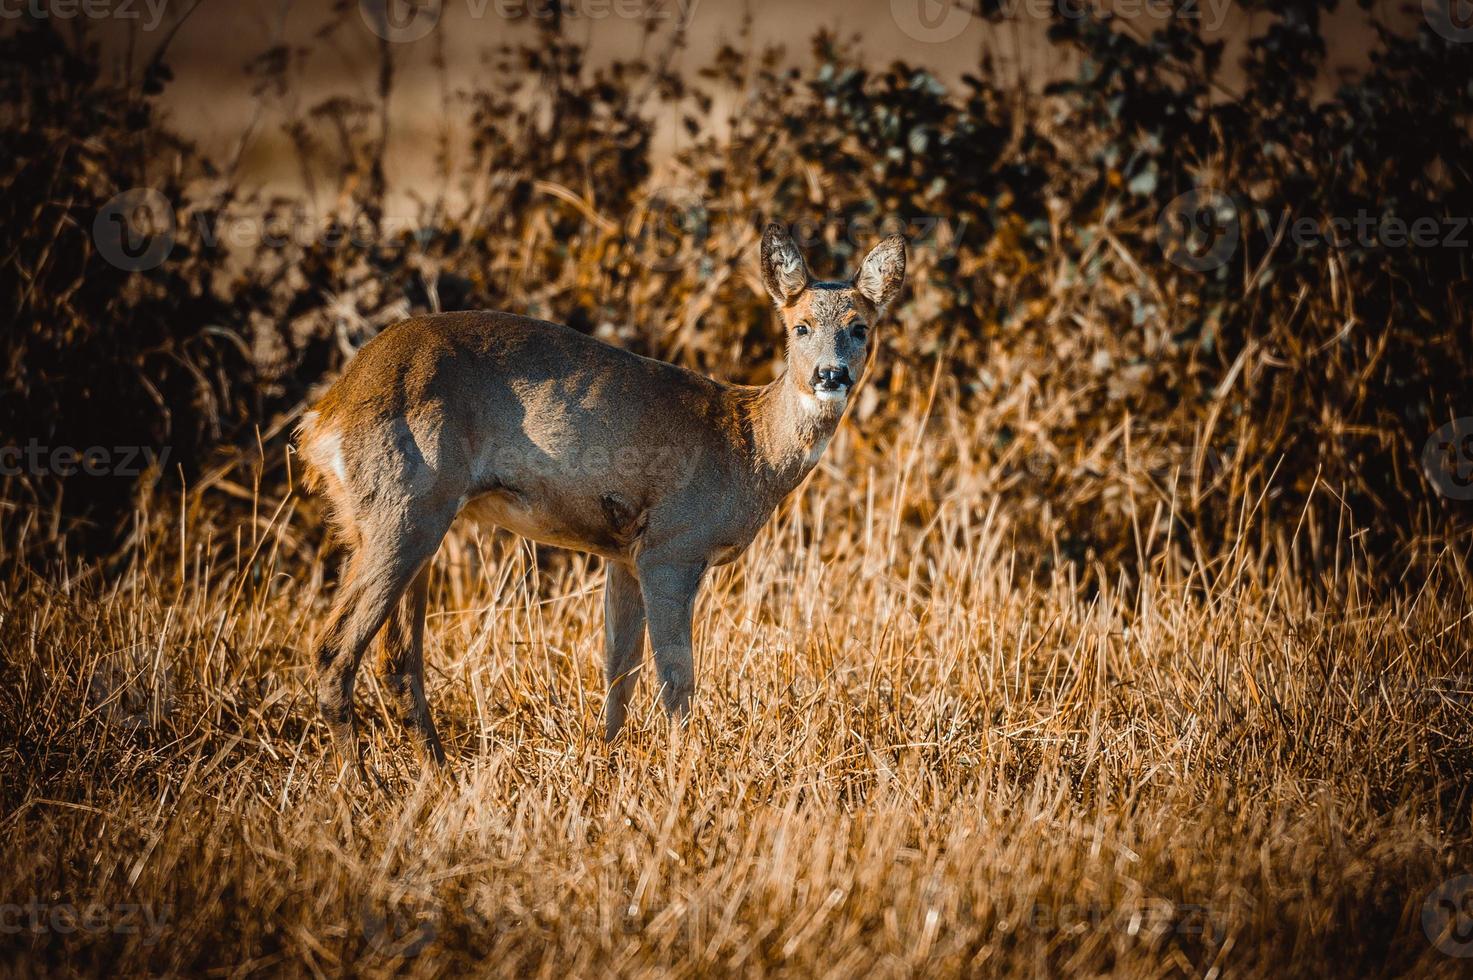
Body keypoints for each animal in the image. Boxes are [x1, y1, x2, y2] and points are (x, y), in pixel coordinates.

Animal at [294, 225, 901, 766]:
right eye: (799, 327)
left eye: (859, 327)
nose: (830, 374)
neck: (748, 447)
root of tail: (327, 415)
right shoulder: (673, 545)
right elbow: (675, 677)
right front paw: (687, 771)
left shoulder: (624, 555)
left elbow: (618, 670)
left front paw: (604, 761)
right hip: (404, 505)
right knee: (334, 649)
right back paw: (360, 783)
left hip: (402, 517)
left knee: (398, 661)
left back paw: (435, 773)